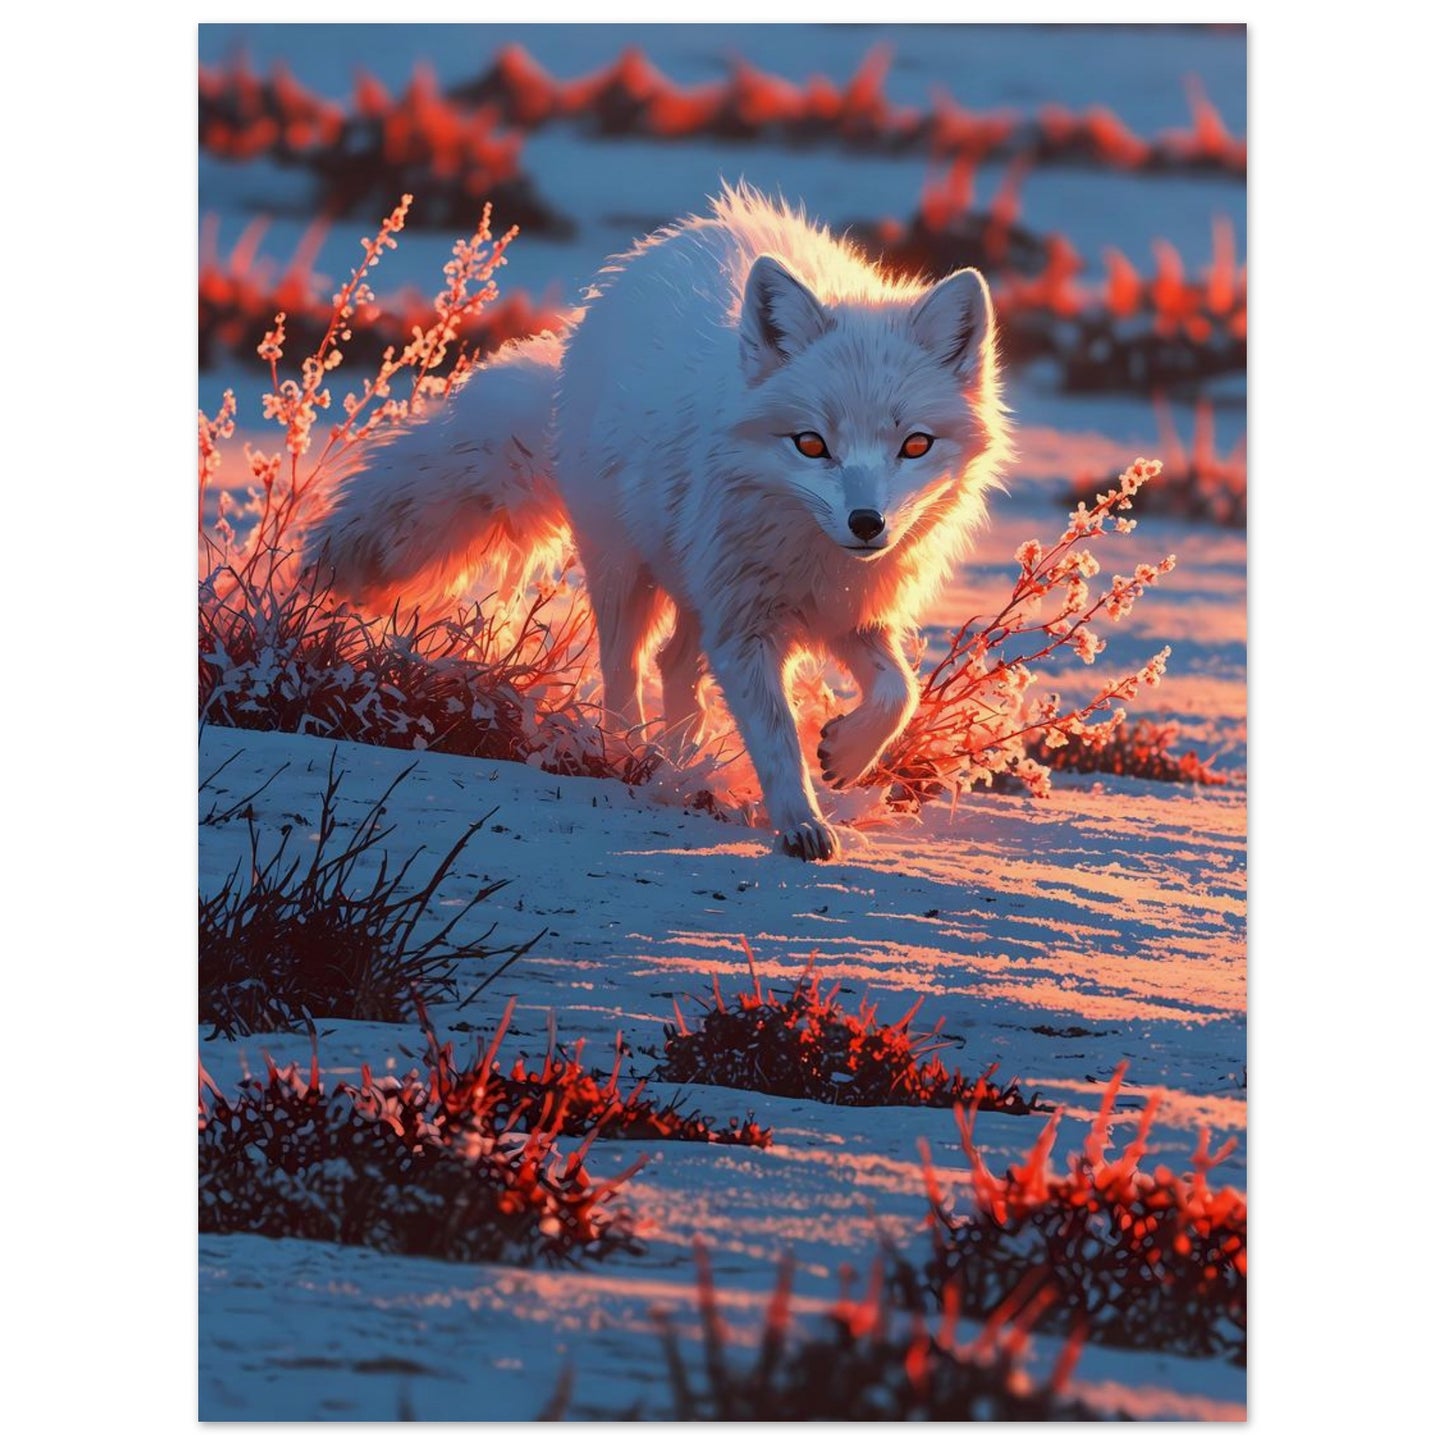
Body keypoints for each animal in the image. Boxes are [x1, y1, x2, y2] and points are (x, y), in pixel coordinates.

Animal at [305, 185, 1011, 861]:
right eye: (811, 444)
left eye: (914, 445)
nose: (867, 524)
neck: (812, 554)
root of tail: (652, 255)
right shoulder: (745, 627)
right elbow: (777, 738)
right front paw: (800, 824)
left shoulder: (847, 611)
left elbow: (900, 692)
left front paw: (845, 752)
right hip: (626, 573)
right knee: (626, 669)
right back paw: (632, 756)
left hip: (695, 587)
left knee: (675, 666)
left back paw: (686, 763)